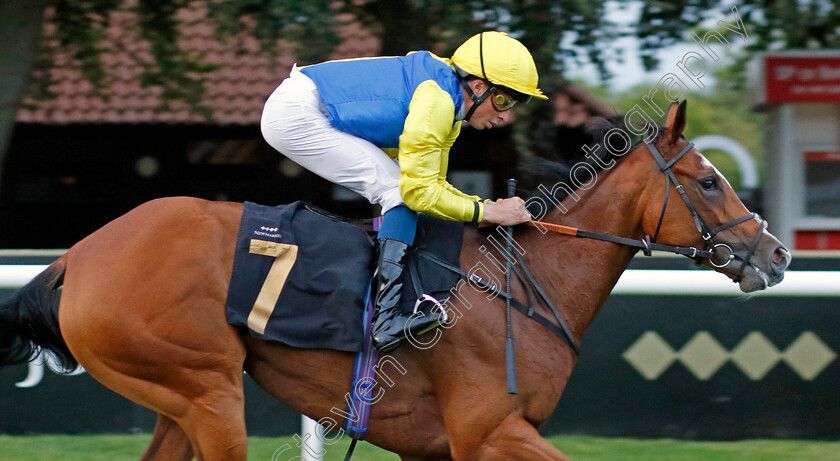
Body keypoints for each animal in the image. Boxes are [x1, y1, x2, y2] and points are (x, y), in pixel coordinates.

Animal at [0, 101, 788, 460]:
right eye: (710, 181)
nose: (777, 253)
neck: (524, 283)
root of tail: (79, 255)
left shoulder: (440, 445)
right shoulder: (490, 432)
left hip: (178, 396)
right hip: (207, 391)